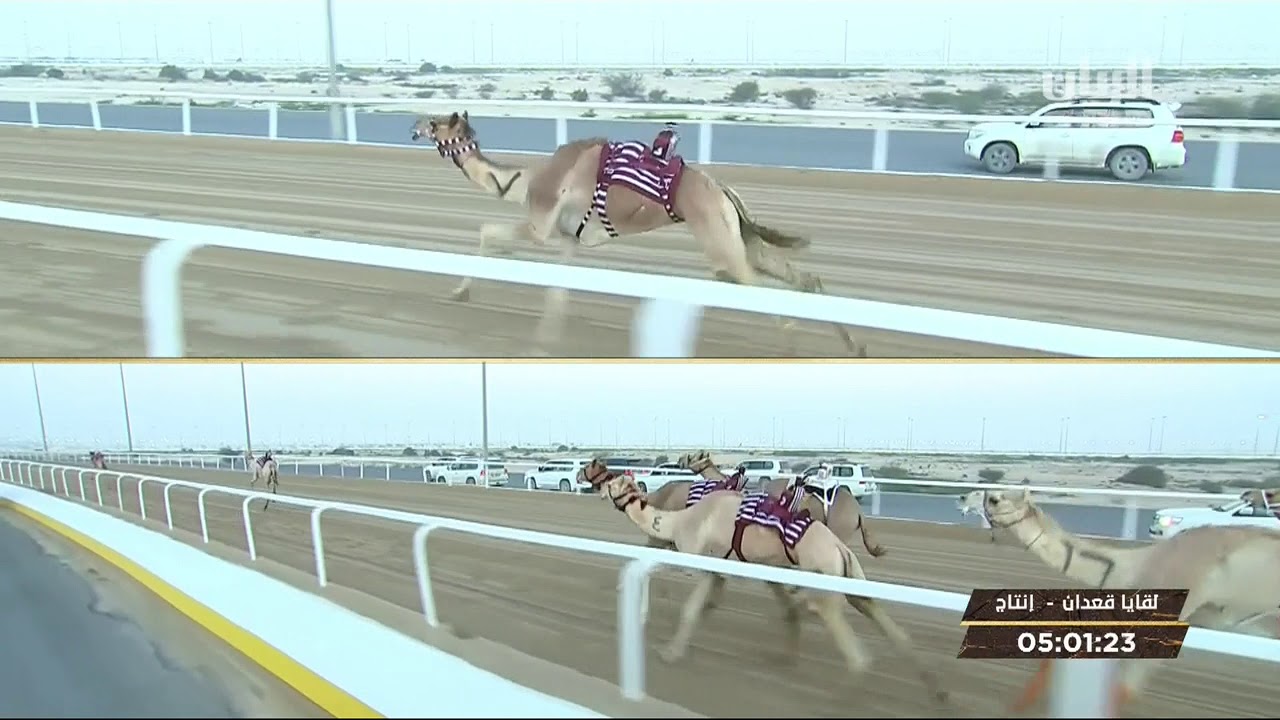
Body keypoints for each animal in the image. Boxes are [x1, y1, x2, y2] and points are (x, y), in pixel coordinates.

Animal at [410, 111, 865, 357]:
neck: (523, 181)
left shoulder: (541, 225)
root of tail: (723, 190)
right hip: (739, 238)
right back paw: (854, 347)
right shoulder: (569, 239)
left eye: (435, 122)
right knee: (804, 278)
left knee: (762, 291)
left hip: (719, 245)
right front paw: (546, 341)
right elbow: (557, 293)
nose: (412, 126)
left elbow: (488, 232)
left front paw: (459, 292)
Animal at [596, 466, 948, 705]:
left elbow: (689, 606)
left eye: (614, 483)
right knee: (883, 619)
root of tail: (839, 547)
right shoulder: (719, 567)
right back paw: (937, 690)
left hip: (823, 581)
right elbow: (700, 606)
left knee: (850, 644)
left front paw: (668, 651)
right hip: (850, 577)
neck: (681, 520)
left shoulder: (701, 559)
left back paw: (839, 697)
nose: (598, 484)